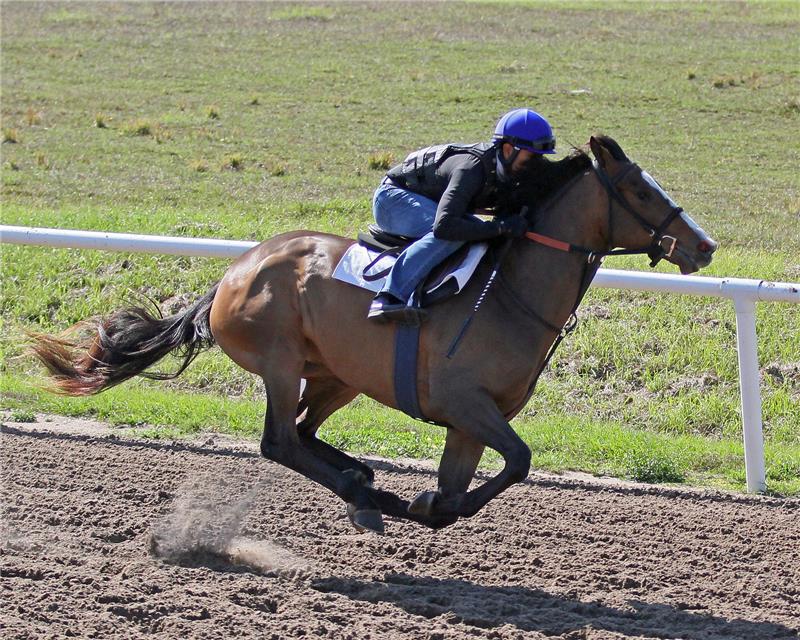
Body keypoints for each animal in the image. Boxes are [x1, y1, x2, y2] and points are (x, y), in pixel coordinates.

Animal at [31, 138, 720, 532]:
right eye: (637, 189)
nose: (704, 247)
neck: (510, 294)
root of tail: (233, 273)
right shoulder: (465, 402)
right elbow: (520, 461)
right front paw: (423, 505)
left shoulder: (471, 421)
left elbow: (474, 480)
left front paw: (430, 504)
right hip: (281, 360)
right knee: (280, 441)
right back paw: (365, 491)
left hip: (340, 374)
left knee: (306, 434)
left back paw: (364, 485)